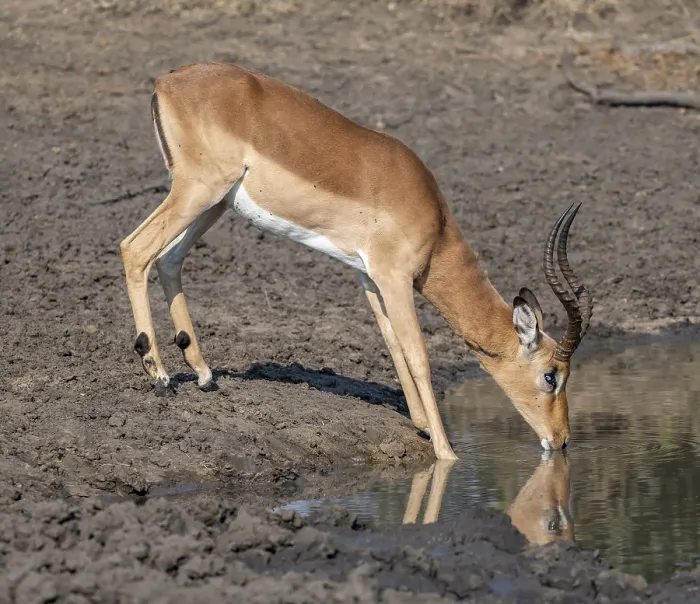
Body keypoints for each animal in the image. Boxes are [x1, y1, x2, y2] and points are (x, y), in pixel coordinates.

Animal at [120, 62, 593, 461]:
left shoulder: (369, 277)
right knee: (135, 249)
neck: (434, 221)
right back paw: (158, 375)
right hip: (198, 192)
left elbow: (392, 344)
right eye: (552, 375)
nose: (561, 440)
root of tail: (168, 81)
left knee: (169, 259)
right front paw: (447, 453)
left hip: (214, 203)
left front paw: (421, 425)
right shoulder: (394, 276)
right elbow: (418, 355)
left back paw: (201, 372)